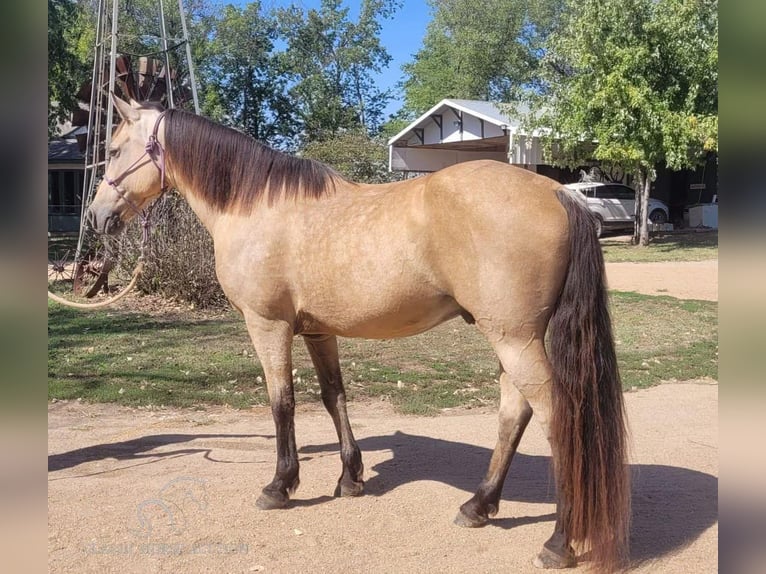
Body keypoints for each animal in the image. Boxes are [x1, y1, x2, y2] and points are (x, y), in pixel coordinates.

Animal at [87, 97, 632, 572]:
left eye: (113, 149)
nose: (95, 217)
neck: (256, 206)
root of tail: (558, 193)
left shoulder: (268, 325)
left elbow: (282, 403)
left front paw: (280, 485)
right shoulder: (316, 332)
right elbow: (334, 397)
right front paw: (349, 477)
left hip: (515, 340)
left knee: (557, 418)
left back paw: (560, 541)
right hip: (512, 340)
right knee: (513, 413)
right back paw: (477, 506)